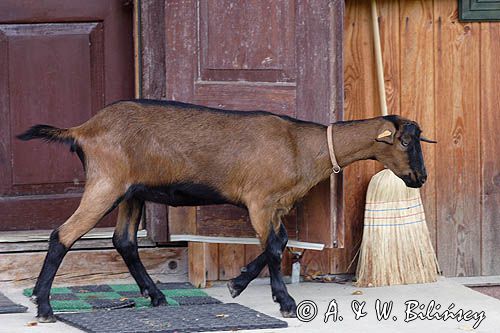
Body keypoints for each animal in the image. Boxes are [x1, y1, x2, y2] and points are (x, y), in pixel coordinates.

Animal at [18, 98, 434, 320]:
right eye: (406, 142)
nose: (421, 178)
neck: (303, 146)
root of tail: (82, 130)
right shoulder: (260, 201)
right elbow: (274, 248)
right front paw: (285, 302)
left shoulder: (275, 206)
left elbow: (279, 243)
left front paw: (238, 282)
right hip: (106, 184)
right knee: (63, 235)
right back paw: (44, 306)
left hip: (132, 191)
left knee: (124, 241)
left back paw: (154, 295)